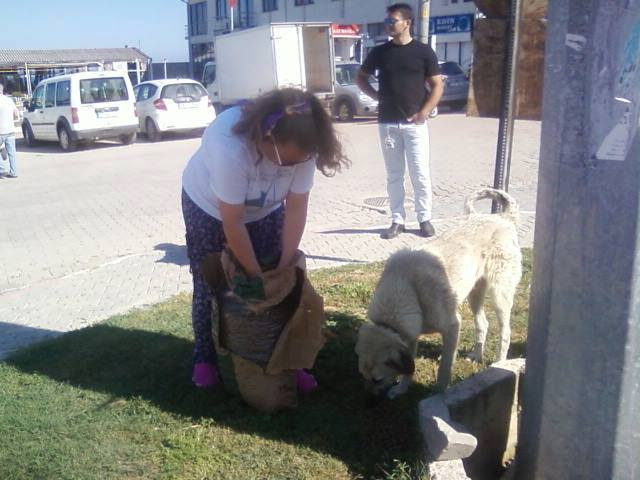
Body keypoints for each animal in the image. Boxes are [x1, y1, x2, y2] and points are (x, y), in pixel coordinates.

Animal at [356, 189, 520, 400]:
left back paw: (499, 363)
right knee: (483, 323)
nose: (368, 401)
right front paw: (402, 389)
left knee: (505, 331)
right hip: (474, 296)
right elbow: (409, 368)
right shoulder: (410, 336)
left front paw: (439, 394)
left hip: (500, 295)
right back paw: (477, 355)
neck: (408, 288)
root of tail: (502, 217)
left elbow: (444, 368)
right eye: (362, 376)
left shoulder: (452, 326)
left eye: (378, 379)